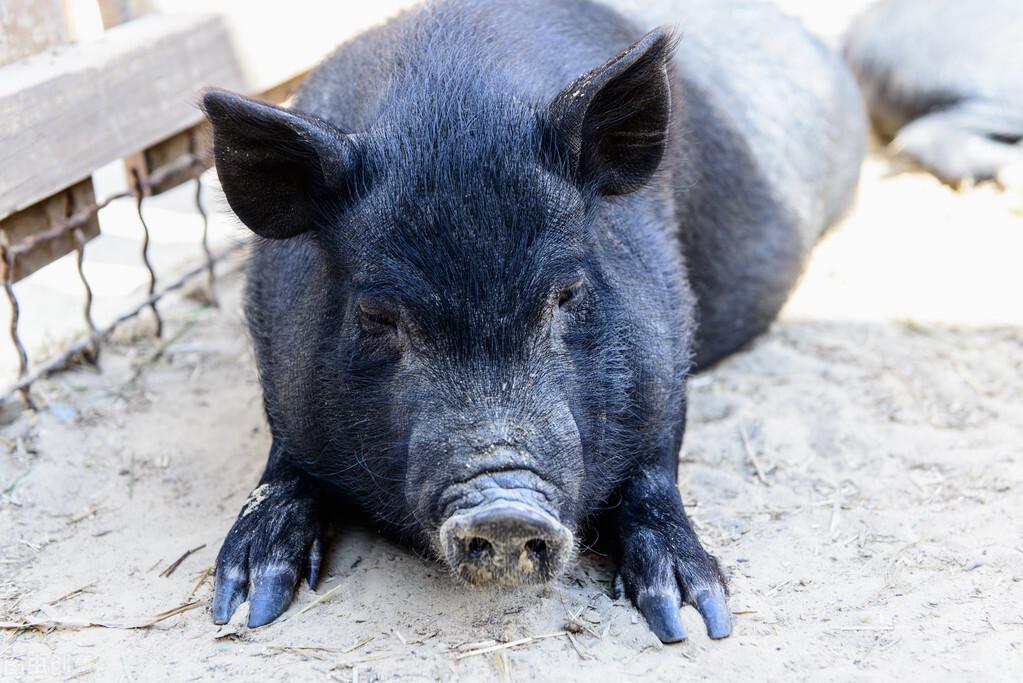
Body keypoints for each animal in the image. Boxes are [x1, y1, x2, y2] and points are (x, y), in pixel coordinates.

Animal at [201, 0, 863, 646]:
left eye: (567, 292)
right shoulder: (280, 369)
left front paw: (694, 620)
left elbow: (655, 469)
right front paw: (244, 606)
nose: (504, 510)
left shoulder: (667, 343)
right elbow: (282, 469)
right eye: (377, 314)